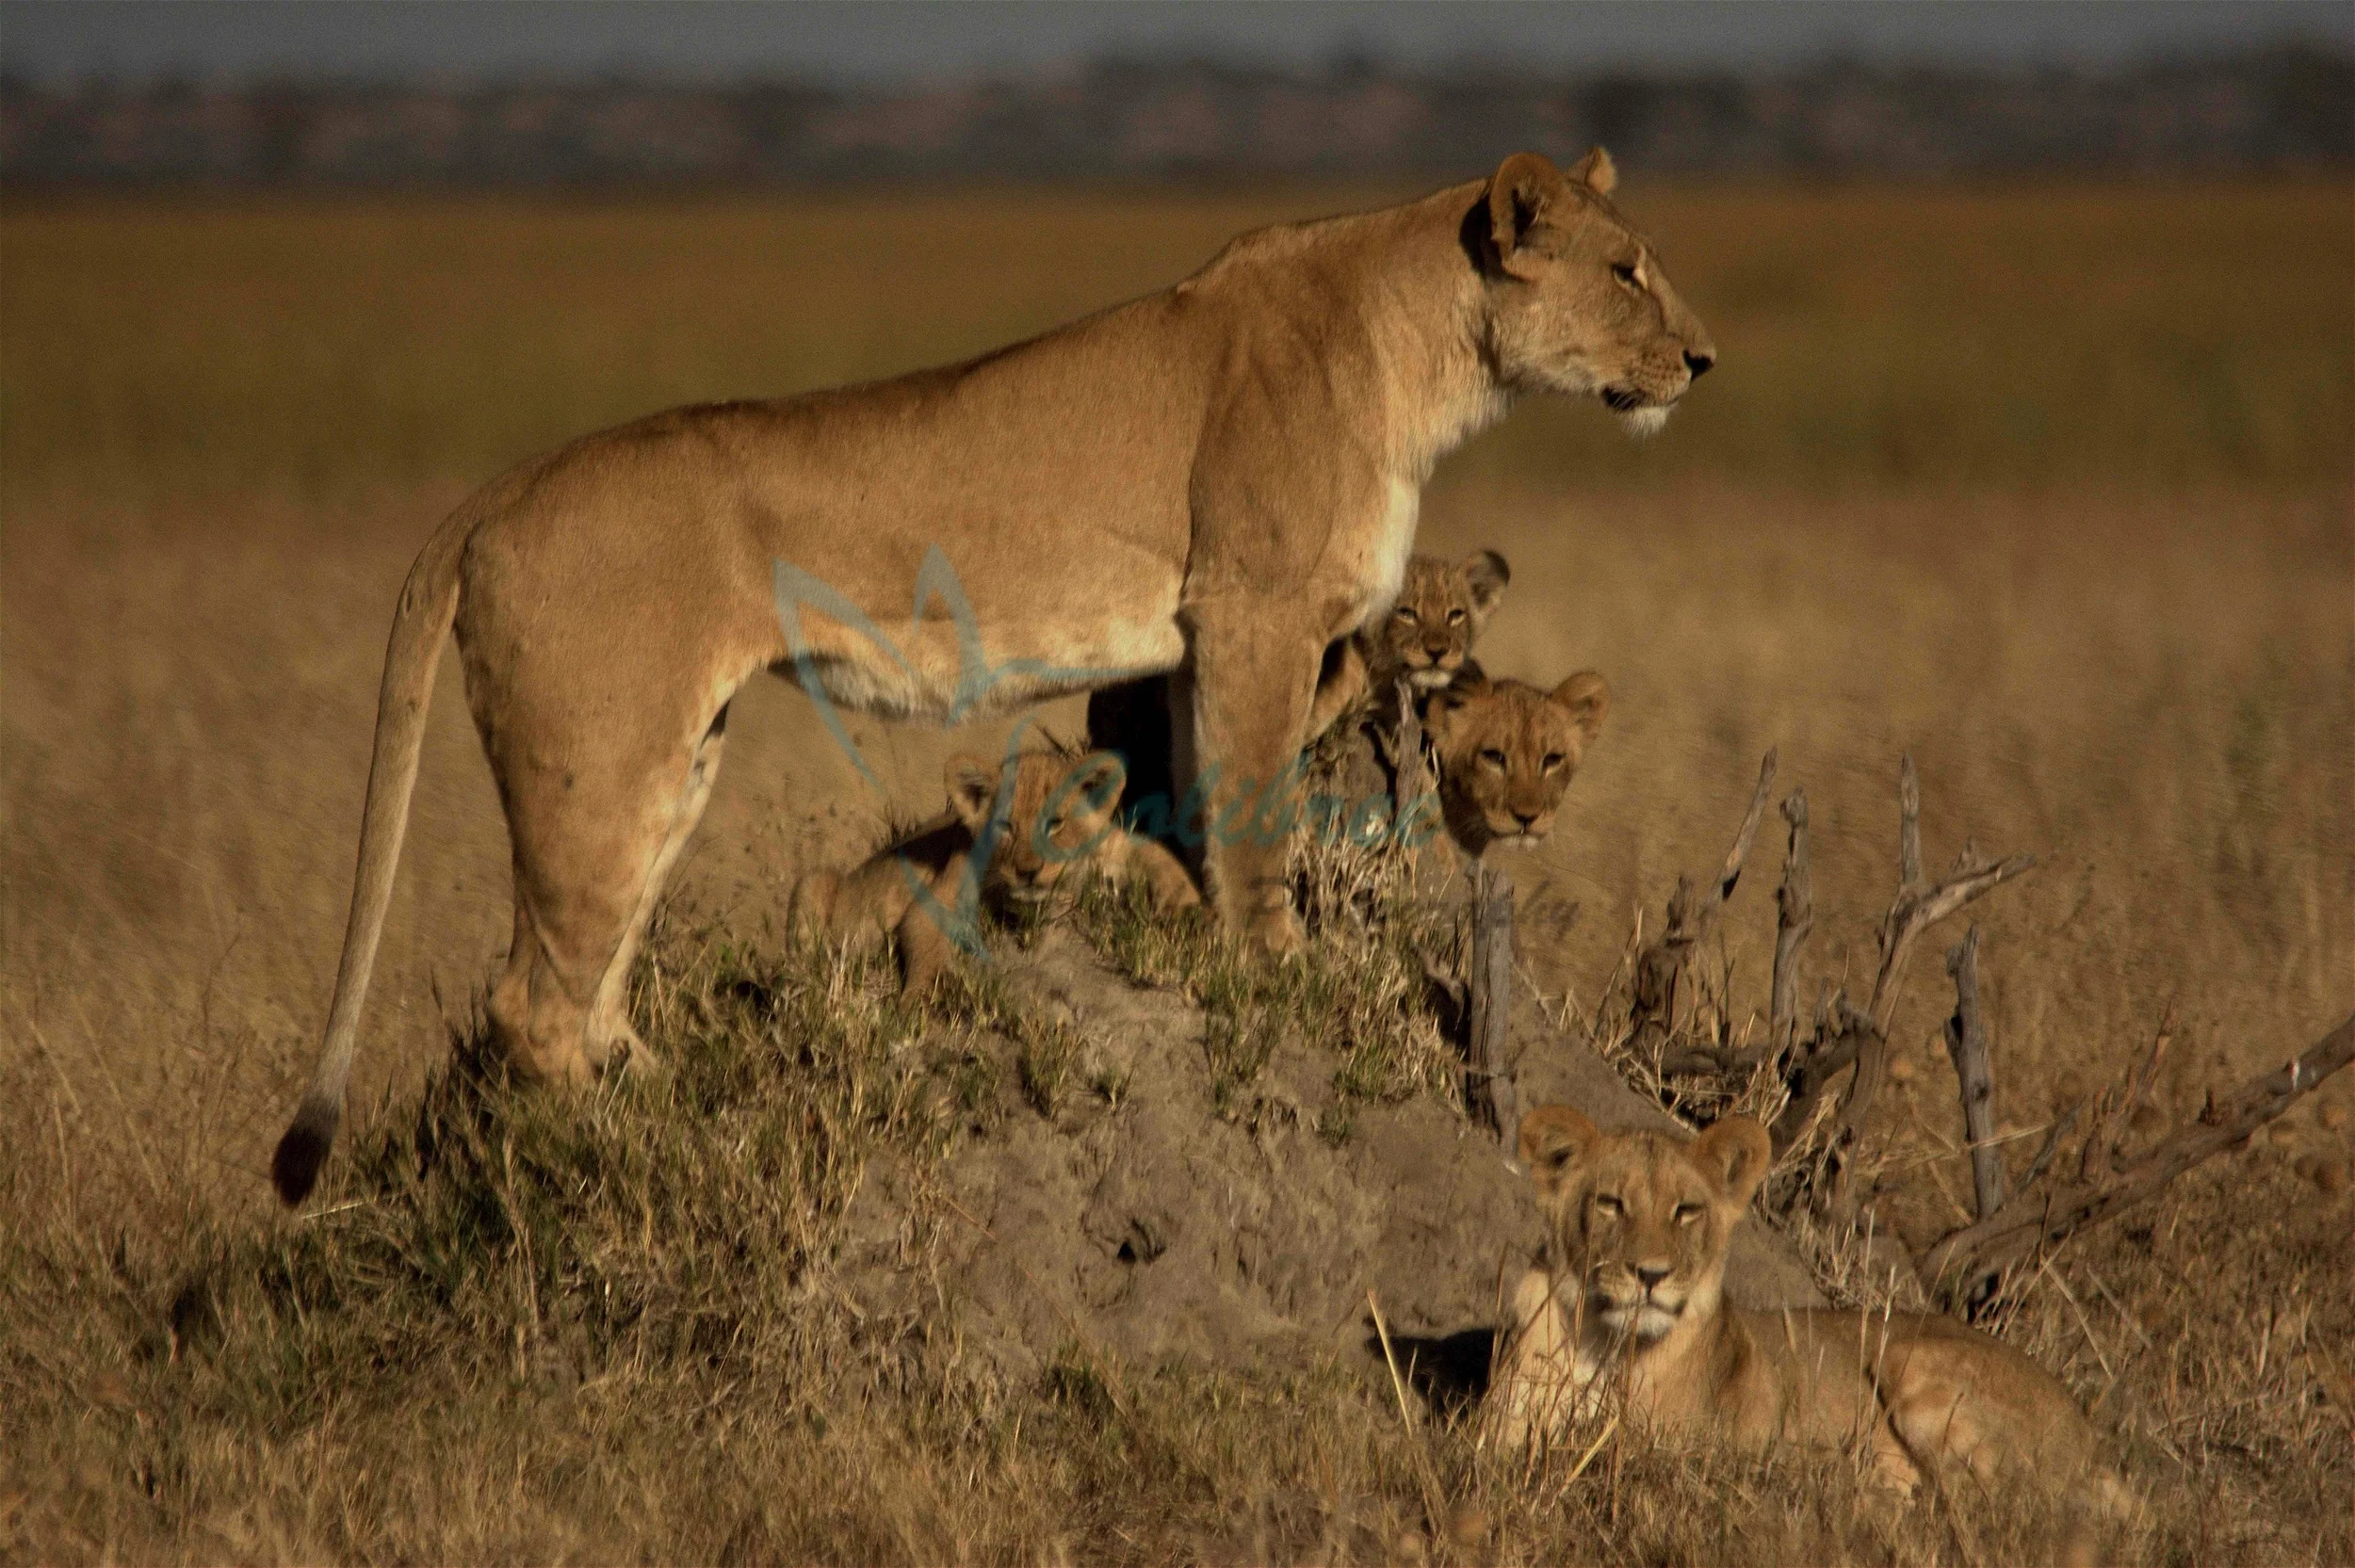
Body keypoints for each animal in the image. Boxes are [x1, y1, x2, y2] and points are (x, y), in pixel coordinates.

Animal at [790, 748, 1199, 993]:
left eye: (1055, 824)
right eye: (1006, 826)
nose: (1028, 872)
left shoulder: (1107, 845)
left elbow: (1153, 854)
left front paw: (1189, 910)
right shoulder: (943, 894)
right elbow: (926, 946)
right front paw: (913, 1006)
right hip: (813, 882)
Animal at [1484, 1105, 2134, 1519]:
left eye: (1686, 1211)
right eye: (1610, 1204)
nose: (1650, 1275)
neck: (1604, 1343)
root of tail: (2091, 1441)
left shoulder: (1686, 1461)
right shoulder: (1500, 1440)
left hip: (1909, 1357)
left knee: (1998, 1512)